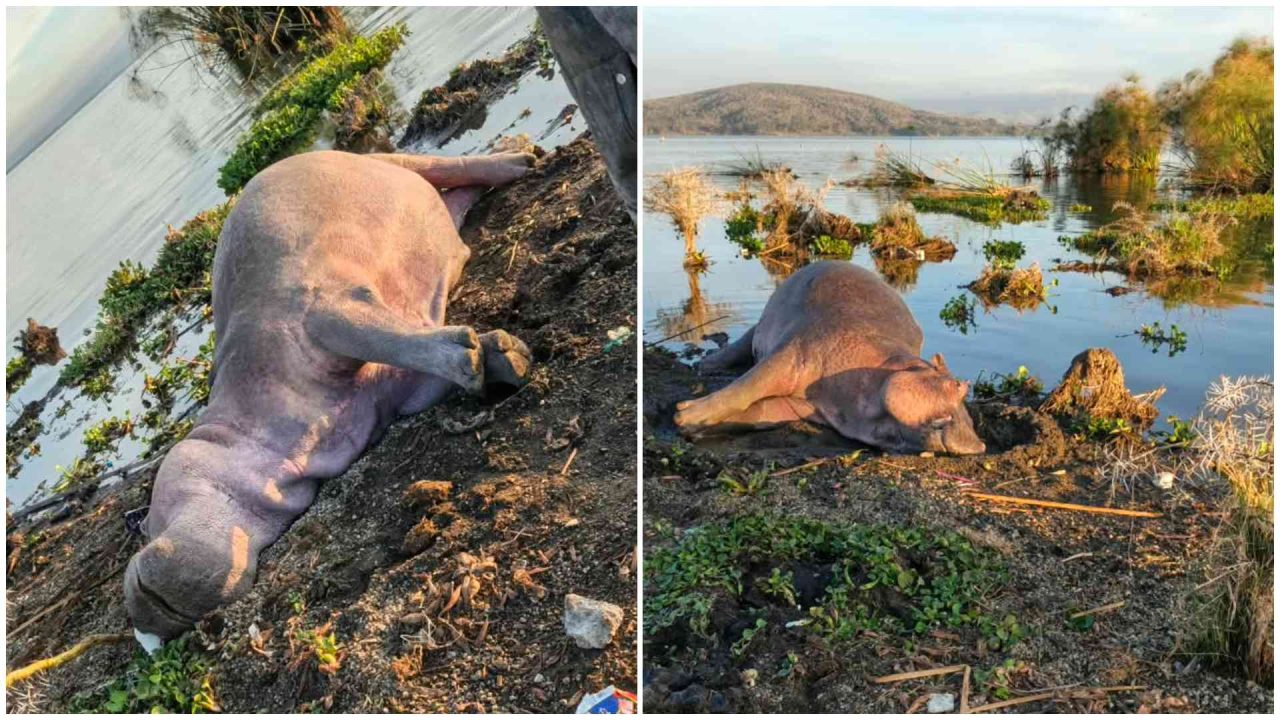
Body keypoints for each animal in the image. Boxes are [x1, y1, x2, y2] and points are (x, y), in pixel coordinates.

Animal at [124, 150, 535, 642]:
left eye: (145, 524)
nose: (141, 620)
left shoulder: (319, 311)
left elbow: (372, 331)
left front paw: (474, 357)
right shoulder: (394, 392)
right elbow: (407, 351)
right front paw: (501, 355)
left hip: (382, 165)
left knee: (441, 163)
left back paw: (524, 159)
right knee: (452, 195)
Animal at [674, 261, 986, 456]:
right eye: (957, 385)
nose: (979, 445)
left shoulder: (805, 406)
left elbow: (760, 412)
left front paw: (691, 428)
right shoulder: (793, 352)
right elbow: (747, 387)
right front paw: (681, 415)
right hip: (761, 327)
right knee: (743, 345)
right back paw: (704, 367)